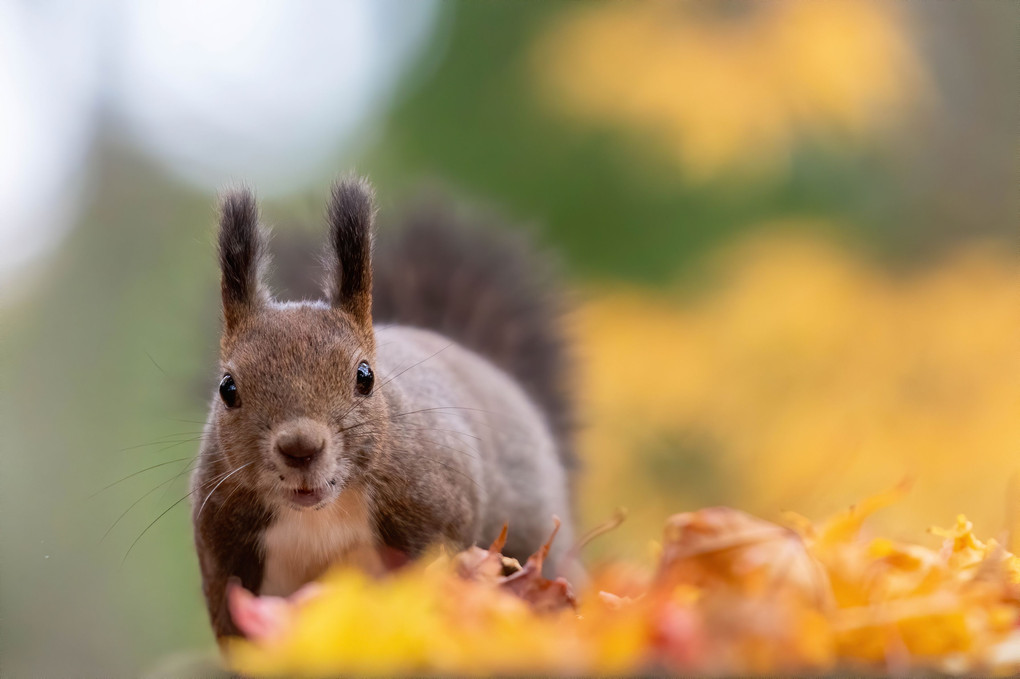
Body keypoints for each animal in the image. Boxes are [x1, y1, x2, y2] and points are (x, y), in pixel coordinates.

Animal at [189, 175, 575, 640]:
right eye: (227, 388)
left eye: (365, 377)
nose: (301, 448)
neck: (321, 515)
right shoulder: (223, 551)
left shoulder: (437, 511)